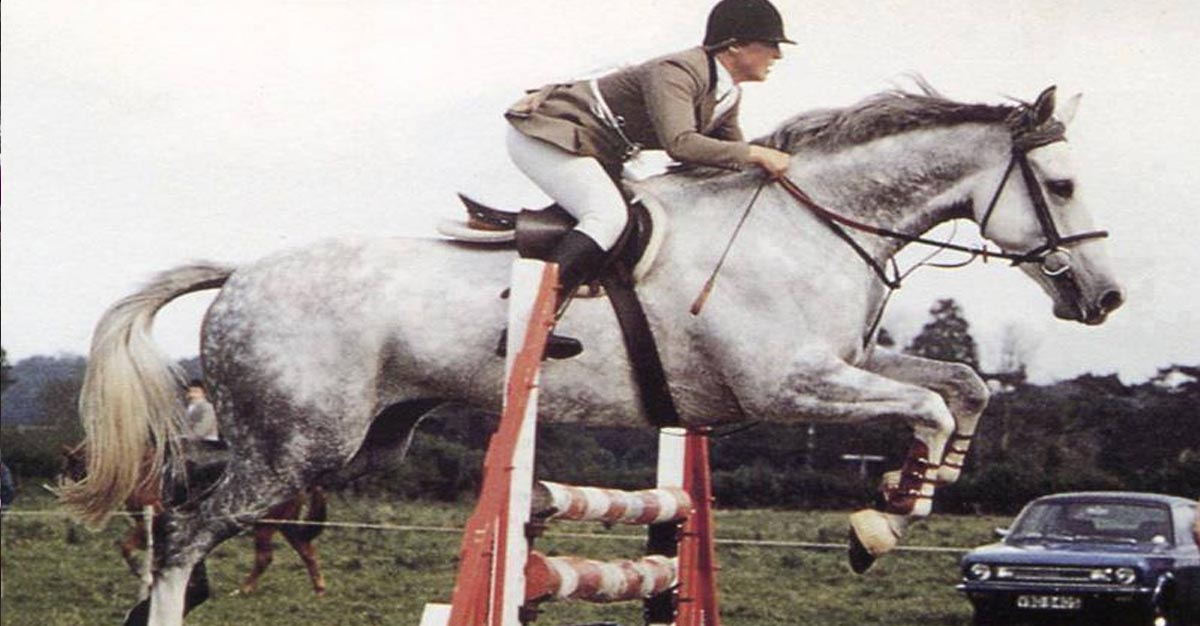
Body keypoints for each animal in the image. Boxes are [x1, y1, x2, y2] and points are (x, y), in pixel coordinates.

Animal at [60, 85, 1118, 618]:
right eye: (1063, 185)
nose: (1103, 299)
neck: (808, 223)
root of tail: (243, 272)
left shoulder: (843, 366)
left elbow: (962, 387)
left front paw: (914, 493)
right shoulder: (788, 384)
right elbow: (934, 404)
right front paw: (881, 524)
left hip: (338, 441)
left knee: (177, 499)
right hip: (297, 445)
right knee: (184, 530)